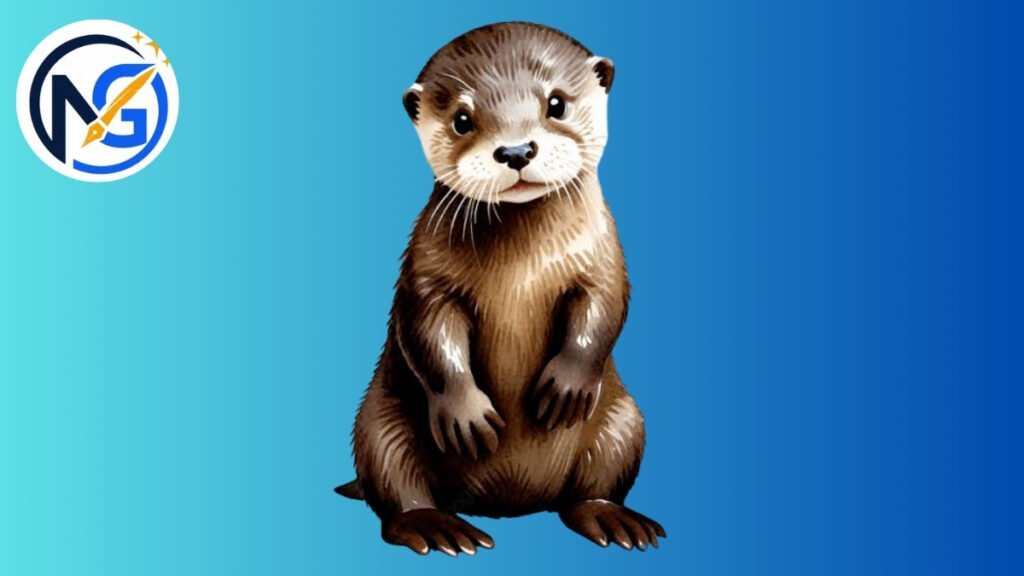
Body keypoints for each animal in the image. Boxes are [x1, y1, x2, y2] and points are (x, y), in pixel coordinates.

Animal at [336, 22, 664, 555]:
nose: (515, 151)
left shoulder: (604, 259)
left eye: (557, 104)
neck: (525, 268)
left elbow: (605, 308)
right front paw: (467, 414)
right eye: (462, 119)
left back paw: (611, 518)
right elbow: (428, 330)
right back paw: (435, 526)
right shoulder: (425, 271)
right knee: (397, 486)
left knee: (595, 485)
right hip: (381, 424)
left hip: (623, 422)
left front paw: (567, 383)